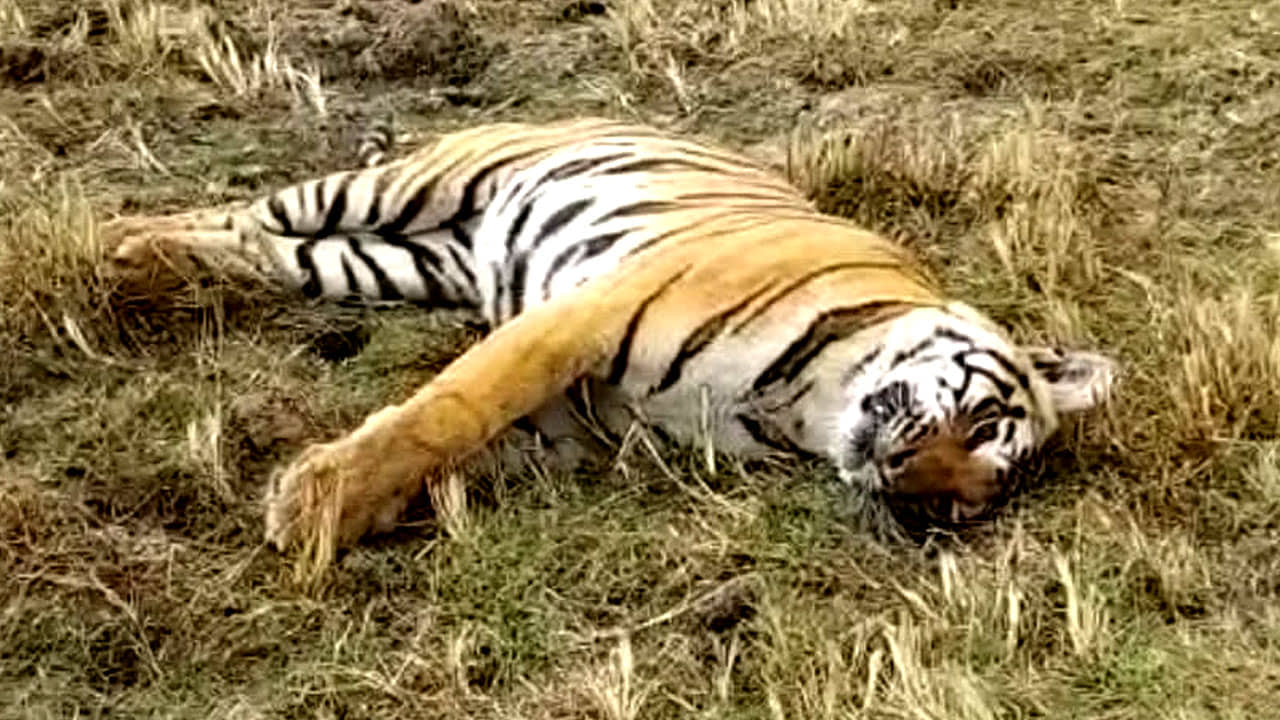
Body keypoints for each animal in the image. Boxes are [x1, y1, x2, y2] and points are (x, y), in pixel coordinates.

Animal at [103, 117, 1117, 582]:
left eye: (963, 506)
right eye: (980, 420)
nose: (912, 486)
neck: (800, 410)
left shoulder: (579, 429)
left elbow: (464, 456)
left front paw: (341, 500)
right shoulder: (580, 316)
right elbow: (451, 408)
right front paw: (321, 503)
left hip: (387, 263)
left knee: (261, 244)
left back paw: (143, 262)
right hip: (405, 187)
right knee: (252, 208)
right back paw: (117, 243)